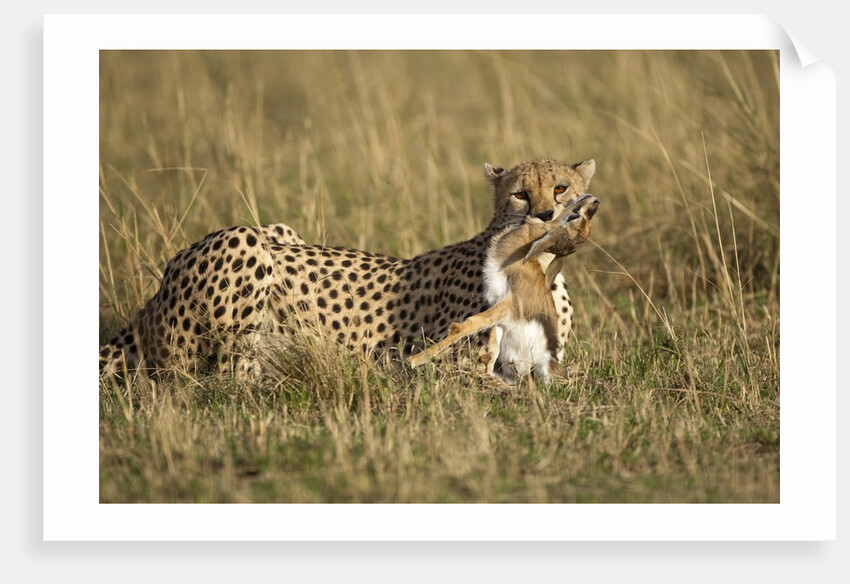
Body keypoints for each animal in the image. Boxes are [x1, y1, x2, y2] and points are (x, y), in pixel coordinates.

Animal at [99, 158, 596, 379]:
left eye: (560, 187)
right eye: (520, 194)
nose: (547, 215)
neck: (538, 264)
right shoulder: (449, 363)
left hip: (279, 230)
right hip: (243, 242)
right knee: (207, 377)